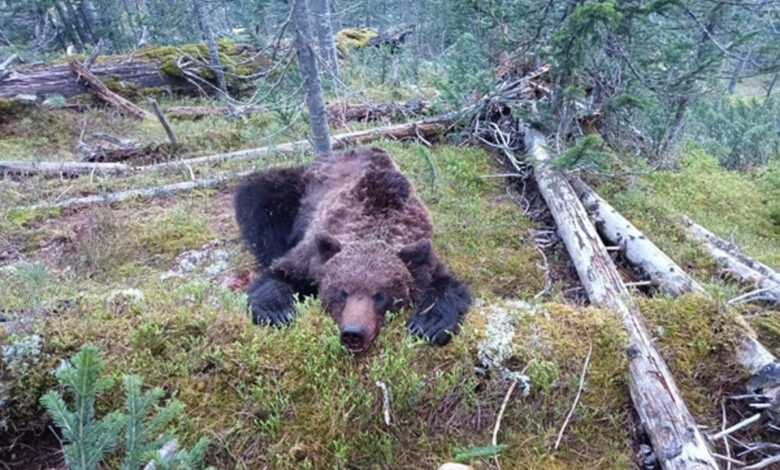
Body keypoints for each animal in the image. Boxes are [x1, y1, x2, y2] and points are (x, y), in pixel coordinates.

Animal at [233, 147, 470, 352]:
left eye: (380, 295)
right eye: (342, 291)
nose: (353, 333)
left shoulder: (422, 254)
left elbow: (448, 286)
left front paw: (428, 324)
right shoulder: (313, 253)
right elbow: (279, 273)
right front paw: (277, 312)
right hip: (296, 189)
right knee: (258, 197)